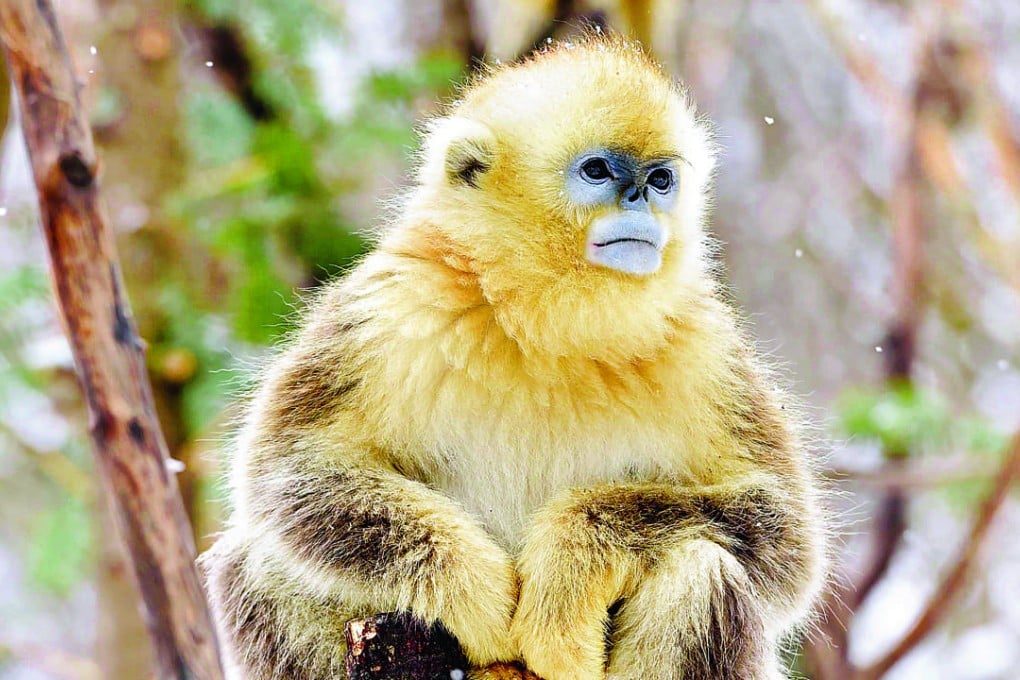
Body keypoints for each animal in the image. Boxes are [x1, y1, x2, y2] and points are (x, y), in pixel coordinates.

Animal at [200, 35, 827, 680]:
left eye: (660, 179)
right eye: (597, 171)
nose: (642, 202)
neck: (543, 324)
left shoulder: (706, 348)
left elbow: (786, 537)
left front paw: (566, 576)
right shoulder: (387, 307)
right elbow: (288, 469)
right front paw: (477, 596)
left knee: (700, 567)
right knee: (260, 560)